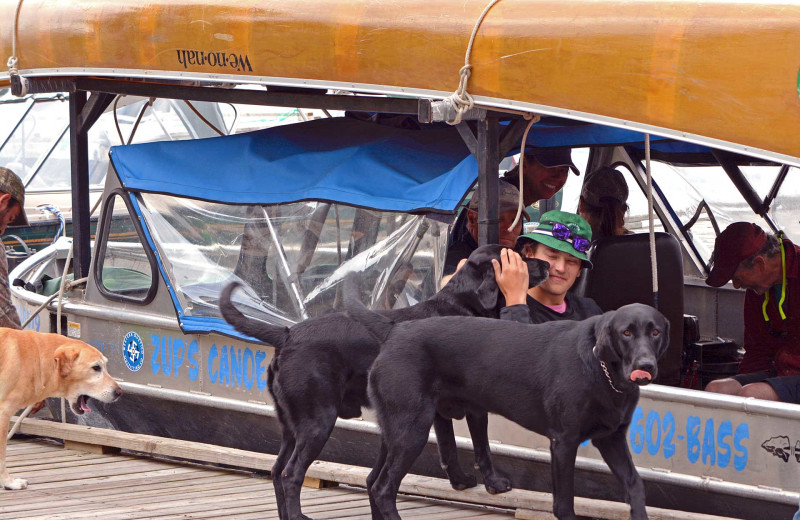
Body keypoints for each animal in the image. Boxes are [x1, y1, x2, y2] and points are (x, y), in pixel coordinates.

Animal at [219, 245, 552, 520]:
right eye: (519, 258)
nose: (547, 264)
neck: (461, 303)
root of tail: (286, 333)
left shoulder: (438, 412)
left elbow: (448, 447)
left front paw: (459, 482)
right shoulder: (474, 408)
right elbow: (482, 448)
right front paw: (495, 484)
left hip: (294, 426)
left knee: (277, 472)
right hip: (322, 422)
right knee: (292, 475)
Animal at [346, 296, 672, 520]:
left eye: (655, 332)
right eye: (626, 333)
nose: (645, 366)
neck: (603, 371)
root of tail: (394, 330)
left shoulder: (611, 439)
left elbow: (635, 485)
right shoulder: (564, 443)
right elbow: (564, 505)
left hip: (394, 432)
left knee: (372, 481)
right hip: (412, 432)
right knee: (383, 488)